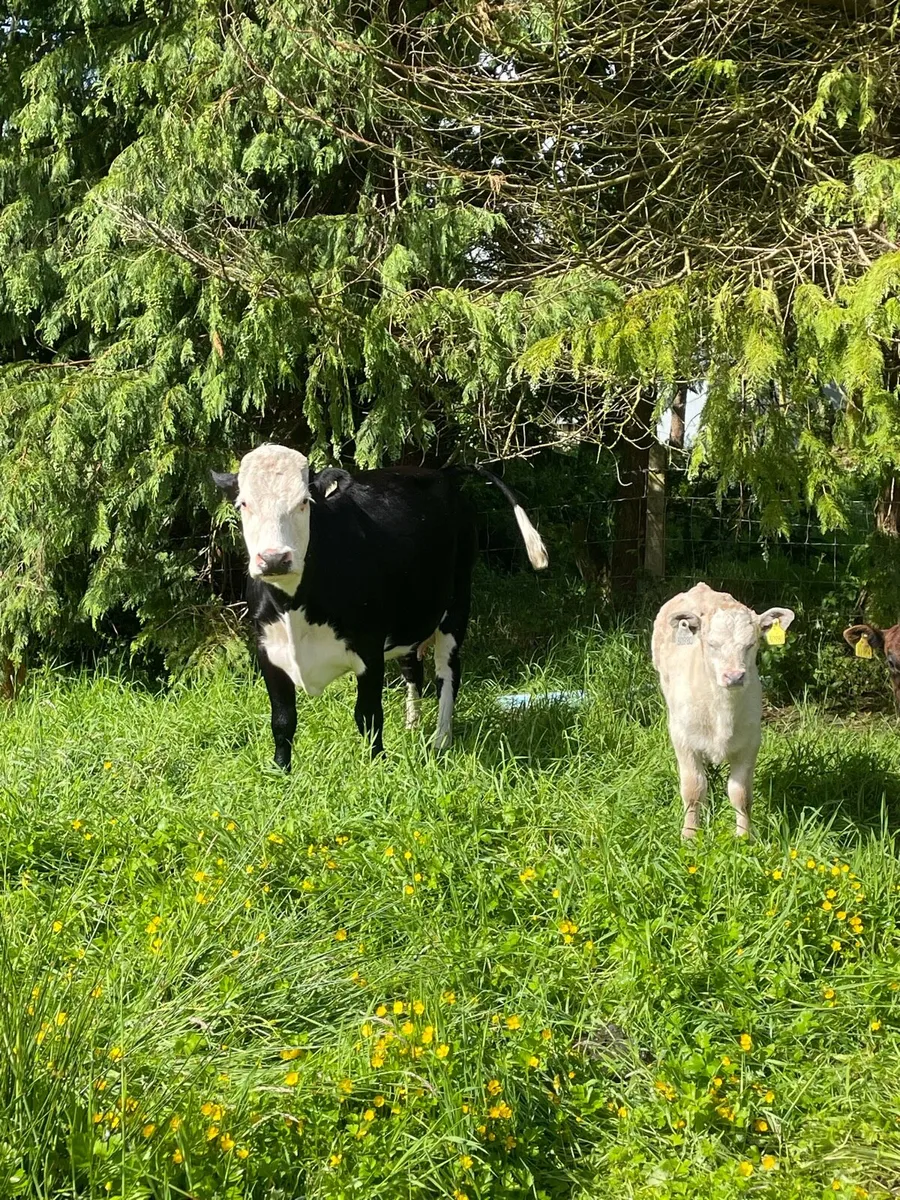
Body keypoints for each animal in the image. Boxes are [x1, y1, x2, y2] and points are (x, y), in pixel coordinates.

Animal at [212, 444, 548, 770]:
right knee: (413, 668)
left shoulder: (369, 647)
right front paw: (280, 771)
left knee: (447, 672)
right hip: (410, 614)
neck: (294, 608)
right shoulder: (268, 651)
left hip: (456, 603)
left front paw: (376, 766)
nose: (273, 559)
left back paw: (441, 739)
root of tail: (440, 473)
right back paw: (412, 726)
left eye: (304, 502)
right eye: (243, 504)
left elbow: (368, 715)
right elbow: (282, 721)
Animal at [651, 582, 795, 839]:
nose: (734, 676)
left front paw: (745, 837)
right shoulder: (683, 740)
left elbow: (741, 793)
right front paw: (689, 835)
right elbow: (693, 790)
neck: (721, 711)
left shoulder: (750, 743)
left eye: (751, 644)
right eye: (712, 644)